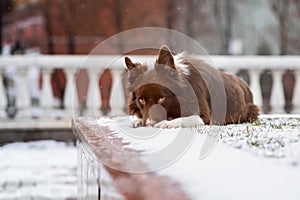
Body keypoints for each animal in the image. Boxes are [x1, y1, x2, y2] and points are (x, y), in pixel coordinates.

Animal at [123, 45, 258, 128]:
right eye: (141, 100)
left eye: (162, 98)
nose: (149, 124)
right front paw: (138, 120)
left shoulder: (205, 117)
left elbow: (185, 118)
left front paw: (167, 123)